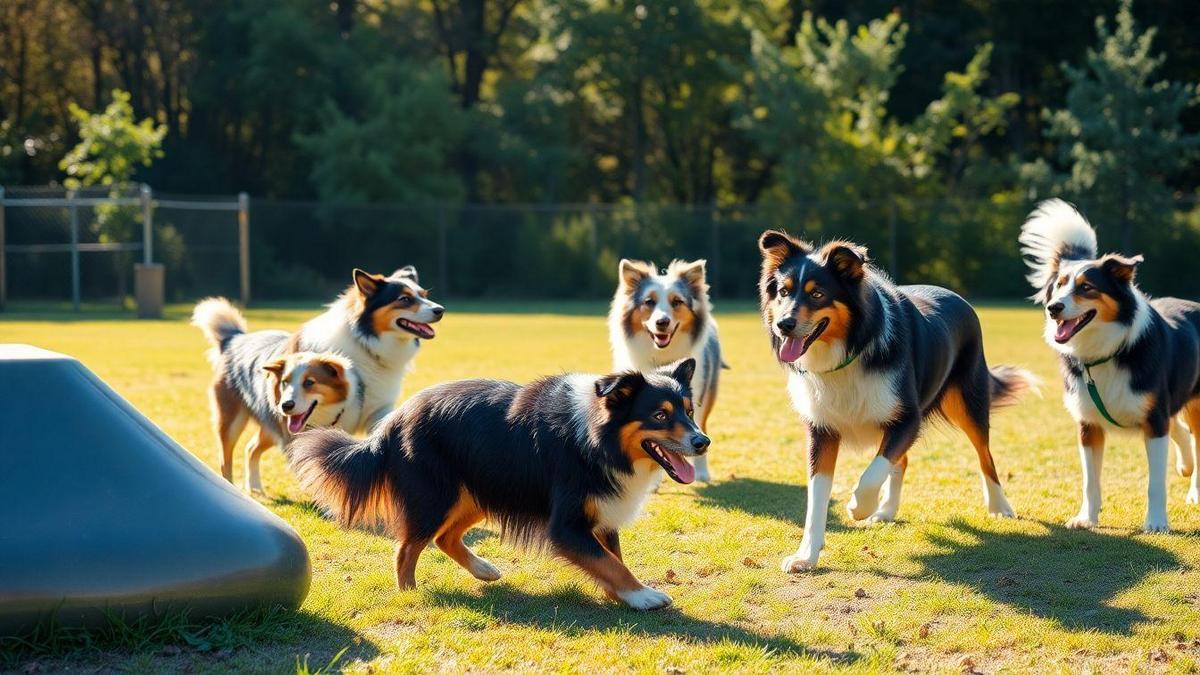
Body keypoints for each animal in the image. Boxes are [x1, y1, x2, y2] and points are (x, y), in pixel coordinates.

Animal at [285, 357, 705, 610]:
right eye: (659, 415)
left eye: (690, 410)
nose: (703, 442)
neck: (599, 437)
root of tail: (391, 423)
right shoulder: (567, 524)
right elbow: (609, 562)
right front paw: (642, 595)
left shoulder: (600, 512)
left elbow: (611, 558)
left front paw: (622, 595)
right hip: (438, 496)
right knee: (407, 548)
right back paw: (410, 594)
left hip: (480, 491)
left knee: (445, 538)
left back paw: (483, 570)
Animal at [758, 229, 1032, 566]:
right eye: (783, 292)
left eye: (817, 294)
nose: (784, 325)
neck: (849, 350)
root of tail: (956, 296)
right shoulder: (822, 429)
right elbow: (818, 495)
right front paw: (806, 556)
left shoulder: (907, 418)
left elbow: (873, 471)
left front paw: (858, 507)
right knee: (902, 460)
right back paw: (887, 510)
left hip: (969, 403)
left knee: (985, 456)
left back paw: (999, 506)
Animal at [1017, 199, 1200, 530]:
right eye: (1058, 286)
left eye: (1087, 287)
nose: (1053, 308)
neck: (1107, 351)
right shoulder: (1088, 424)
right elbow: (1090, 480)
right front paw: (1086, 518)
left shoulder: (1154, 419)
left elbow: (1155, 481)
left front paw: (1156, 522)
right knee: (1180, 429)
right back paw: (1185, 465)